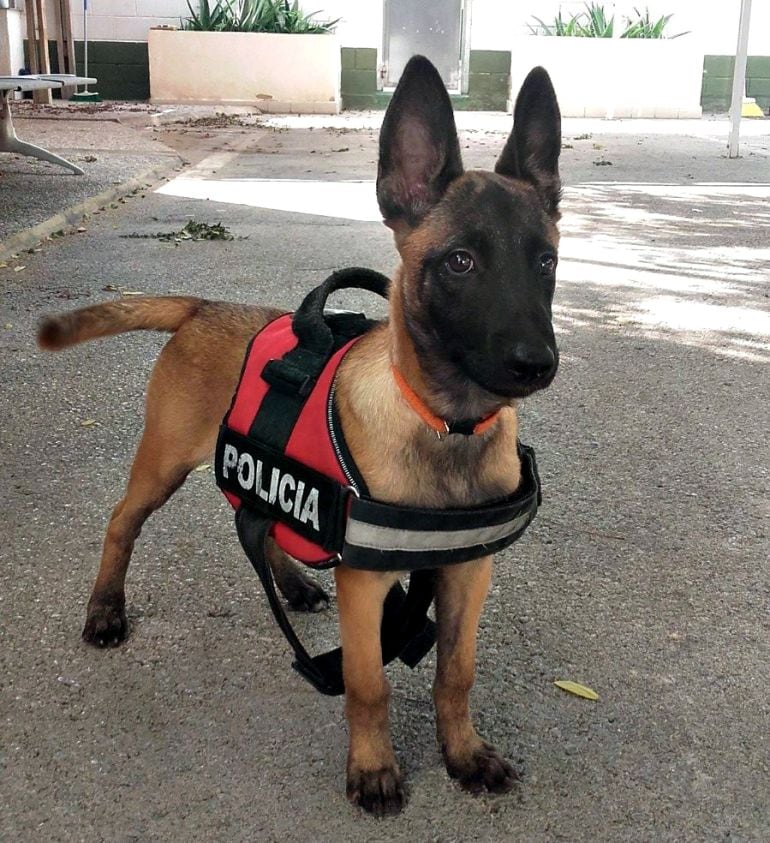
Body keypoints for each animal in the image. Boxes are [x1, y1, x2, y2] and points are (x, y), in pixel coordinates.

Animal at [37, 54, 560, 816]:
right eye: (460, 262)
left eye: (546, 261)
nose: (536, 363)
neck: (444, 423)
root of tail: (205, 306)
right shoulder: (366, 585)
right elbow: (368, 685)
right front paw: (373, 768)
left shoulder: (469, 570)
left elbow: (454, 673)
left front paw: (462, 753)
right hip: (161, 464)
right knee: (121, 523)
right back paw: (106, 610)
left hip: (255, 459)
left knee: (254, 519)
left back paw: (288, 581)